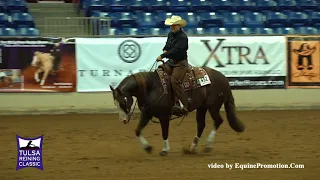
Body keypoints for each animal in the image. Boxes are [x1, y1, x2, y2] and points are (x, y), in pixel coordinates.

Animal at [110, 60, 245, 156]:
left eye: (123, 101)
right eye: (115, 103)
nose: (123, 120)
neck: (152, 86)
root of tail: (224, 78)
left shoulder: (164, 116)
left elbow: (165, 133)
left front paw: (165, 150)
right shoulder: (147, 113)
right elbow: (138, 131)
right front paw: (148, 148)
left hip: (213, 106)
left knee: (218, 121)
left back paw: (208, 146)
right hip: (202, 107)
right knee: (201, 125)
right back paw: (192, 147)